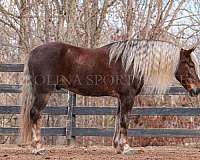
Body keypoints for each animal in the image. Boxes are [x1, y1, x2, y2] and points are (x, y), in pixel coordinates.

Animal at [19, 39, 199, 155]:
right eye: (190, 65)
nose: (196, 90)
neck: (132, 63)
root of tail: (33, 52)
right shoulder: (128, 97)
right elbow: (125, 120)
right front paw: (126, 148)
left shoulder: (121, 98)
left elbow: (118, 119)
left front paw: (118, 146)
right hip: (43, 92)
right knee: (35, 114)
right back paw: (38, 148)